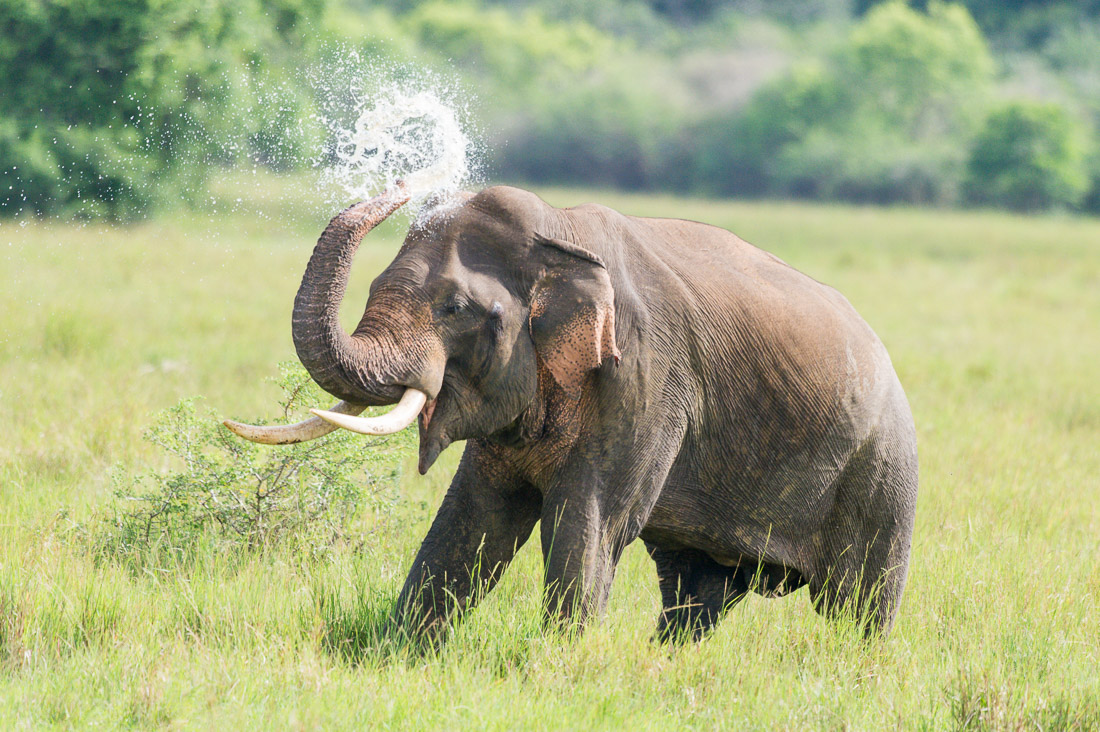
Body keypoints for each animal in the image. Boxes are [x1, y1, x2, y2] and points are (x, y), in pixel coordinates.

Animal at [225, 182, 919, 638]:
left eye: (455, 308)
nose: (401, 183)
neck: (556, 236)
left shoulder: (645, 380)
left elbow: (590, 521)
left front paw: (559, 666)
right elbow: (476, 516)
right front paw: (399, 651)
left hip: (883, 467)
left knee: (859, 604)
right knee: (696, 595)